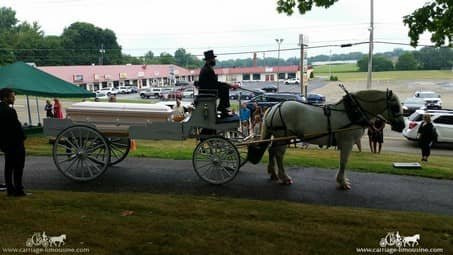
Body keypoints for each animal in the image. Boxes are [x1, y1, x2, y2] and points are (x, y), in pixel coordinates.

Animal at [249, 89, 404, 189]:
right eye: (395, 106)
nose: (402, 125)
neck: (352, 112)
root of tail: (275, 106)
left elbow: (343, 161)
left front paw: (342, 180)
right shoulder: (347, 142)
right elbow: (344, 161)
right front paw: (342, 182)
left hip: (279, 136)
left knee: (272, 150)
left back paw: (274, 174)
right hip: (283, 136)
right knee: (279, 154)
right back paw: (284, 177)